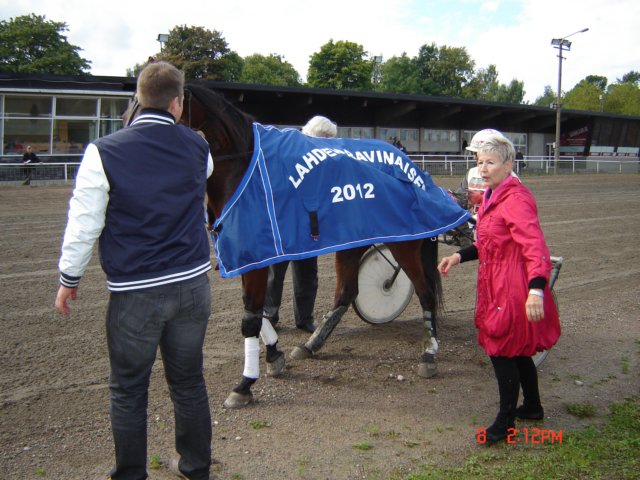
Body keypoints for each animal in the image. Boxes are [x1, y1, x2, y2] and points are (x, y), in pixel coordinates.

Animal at [124, 83, 462, 409]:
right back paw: (312, 344)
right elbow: (257, 311)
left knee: (425, 291)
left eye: (151, 110)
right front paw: (275, 354)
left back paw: (429, 353)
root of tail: (409, 164)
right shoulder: (250, 256)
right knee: (346, 293)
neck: (242, 166)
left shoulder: (255, 256)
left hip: (404, 243)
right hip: (354, 240)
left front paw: (245, 384)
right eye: (129, 107)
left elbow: (250, 317)